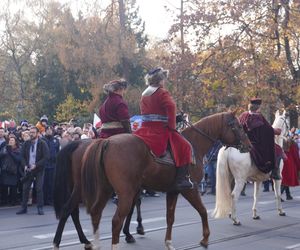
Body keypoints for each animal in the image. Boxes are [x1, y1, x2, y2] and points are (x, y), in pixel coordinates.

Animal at [80, 112, 251, 250]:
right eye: (238, 126)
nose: (249, 145)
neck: (194, 143)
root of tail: (107, 142)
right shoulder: (190, 189)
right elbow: (202, 210)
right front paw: (205, 239)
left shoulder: (173, 191)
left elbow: (170, 217)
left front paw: (168, 243)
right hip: (125, 193)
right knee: (116, 221)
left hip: (105, 190)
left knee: (96, 214)